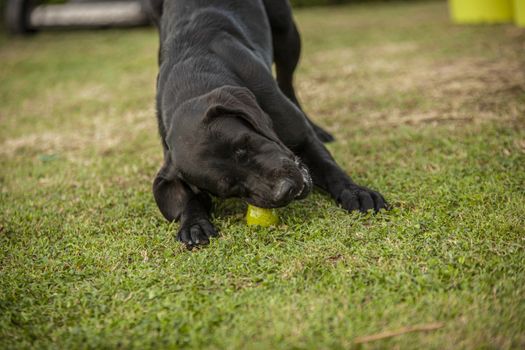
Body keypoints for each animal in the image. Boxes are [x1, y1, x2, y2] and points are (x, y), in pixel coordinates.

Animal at [149, 0, 386, 247]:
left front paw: (355, 192)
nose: (286, 189)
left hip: (286, 33)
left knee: (287, 82)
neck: (192, 77)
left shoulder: (301, 138)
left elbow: (329, 166)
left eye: (246, 143)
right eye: (230, 186)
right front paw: (193, 223)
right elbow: (185, 198)